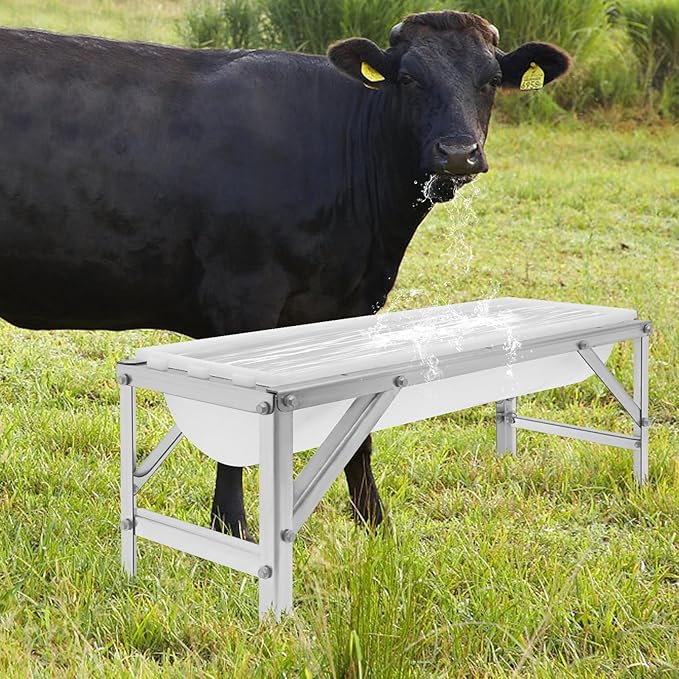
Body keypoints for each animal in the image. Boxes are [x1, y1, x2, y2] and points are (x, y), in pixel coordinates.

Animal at [0, 11, 570, 540]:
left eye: (490, 79)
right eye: (408, 78)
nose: (457, 152)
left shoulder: (355, 306)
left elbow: (359, 424)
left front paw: (374, 524)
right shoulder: (243, 297)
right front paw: (232, 528)